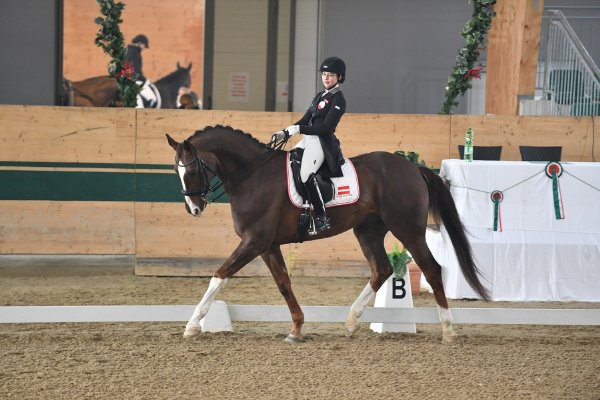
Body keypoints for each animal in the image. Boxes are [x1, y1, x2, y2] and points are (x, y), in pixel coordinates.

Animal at [166, 126, 490, 344]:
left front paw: (192, 324)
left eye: (191, 171)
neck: (252, 176)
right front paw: (296, 328)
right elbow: (283, 284)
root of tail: (413, 167)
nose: (194, 209)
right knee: (382, 269)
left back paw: (448, 329)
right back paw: (351, 321)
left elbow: (219, 275)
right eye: (176, 172)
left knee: (432, 269)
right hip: (368, 230)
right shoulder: (267, 245)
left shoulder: (254, 241)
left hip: (407, 229)